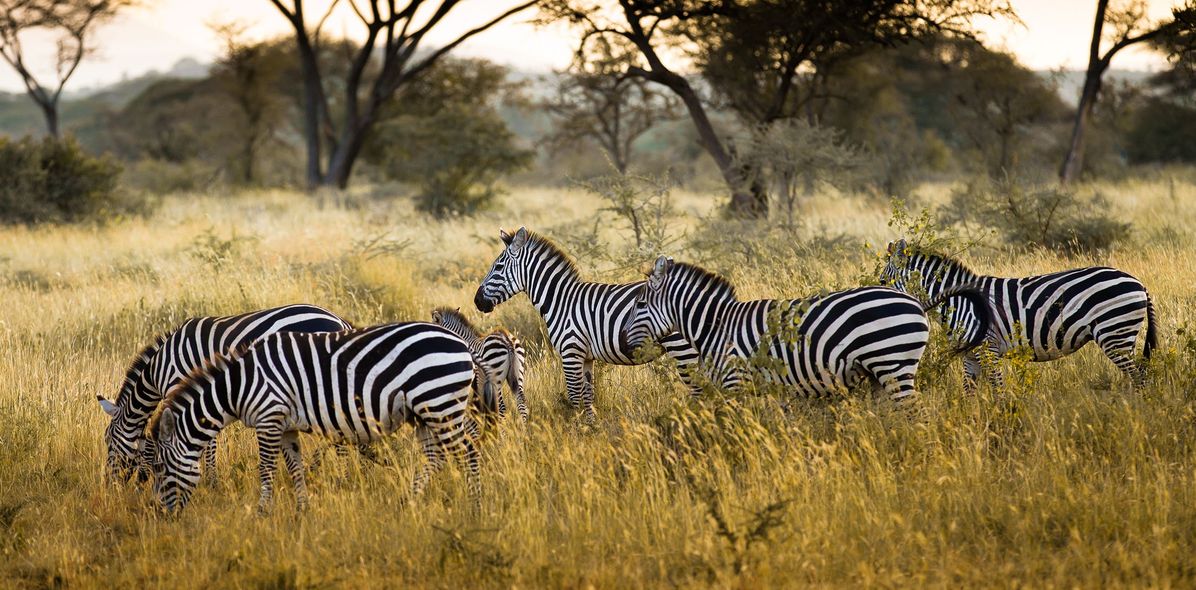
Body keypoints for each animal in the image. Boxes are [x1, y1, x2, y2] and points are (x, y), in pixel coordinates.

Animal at [97, 303, 349, 483]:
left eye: (108, 439)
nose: (110, 484)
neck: (158, 369)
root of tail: (340, 320)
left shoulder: (181, 387)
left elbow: (202, 441)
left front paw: (209, 480)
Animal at [473, 222, 698, 421]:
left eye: (498, 267)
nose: (476, 301)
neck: (561, 301)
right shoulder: (587, 357)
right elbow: (589, 397)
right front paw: (591, 429)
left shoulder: (570, 352)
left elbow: (574, 397)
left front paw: (578, 432)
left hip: (683, 348)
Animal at [617, 254, 990, 397]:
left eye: (639, 304)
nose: (622, 342)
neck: (716, 327)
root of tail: (914, 302)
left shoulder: (737, 383)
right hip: (882, 372)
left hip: (893, 363)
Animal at [880, 236, 1157, 387]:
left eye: (882, 281)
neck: (959, 302)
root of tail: (1138, 282)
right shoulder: (969, 356)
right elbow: (968, 393)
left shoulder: (988, 350)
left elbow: (998, 391)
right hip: (1120, 334)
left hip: (1114, 334)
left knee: (1140, 378)